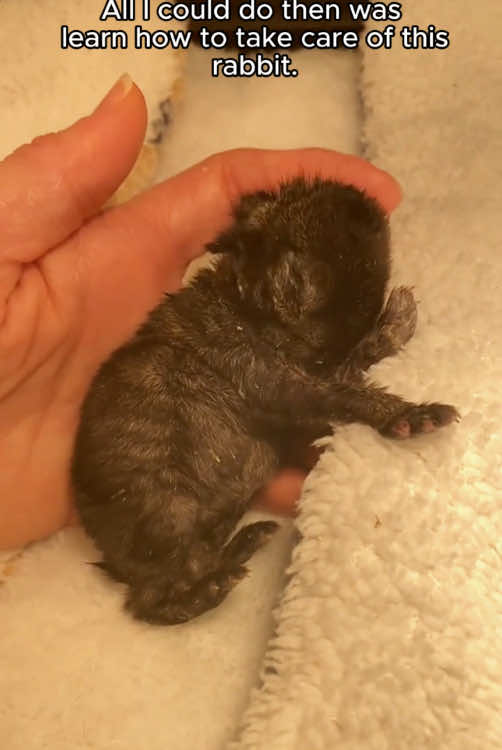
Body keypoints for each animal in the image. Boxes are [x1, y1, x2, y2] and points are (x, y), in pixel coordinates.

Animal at [70, 179, 458, 624]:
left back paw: (244, 543)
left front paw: (395, 323)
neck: (244, 307)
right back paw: (213, 587)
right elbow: (345, 393)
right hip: (167, 509)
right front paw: (412, 413)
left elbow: (352, 370)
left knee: (194, 563)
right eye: (298, 275)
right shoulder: (277, 382)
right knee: (149, 600)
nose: (325, 355)